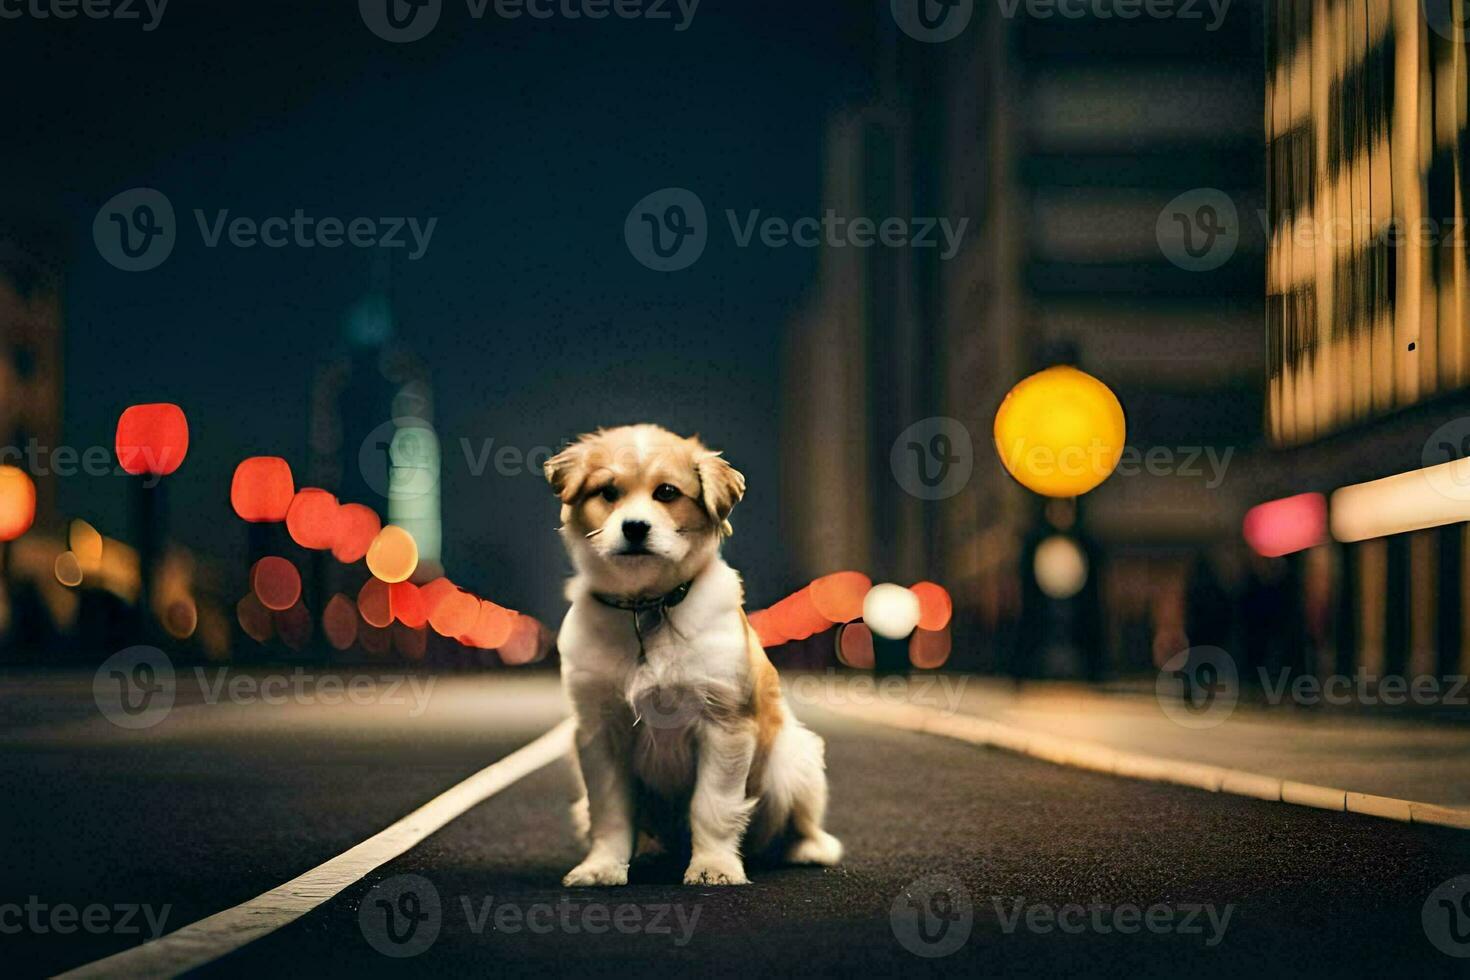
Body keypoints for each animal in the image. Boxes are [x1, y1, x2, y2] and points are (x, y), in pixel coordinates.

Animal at [546, 426, 846, 887]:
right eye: (608, 492)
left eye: (667, 492)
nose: (635, 528)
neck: (646, 608)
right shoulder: (598, 731)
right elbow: (611, 813)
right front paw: (602, 867)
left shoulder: (724, 723)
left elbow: (713, 805)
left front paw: (714, 866)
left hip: (794, 760)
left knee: (797, 824)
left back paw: (809, 849)